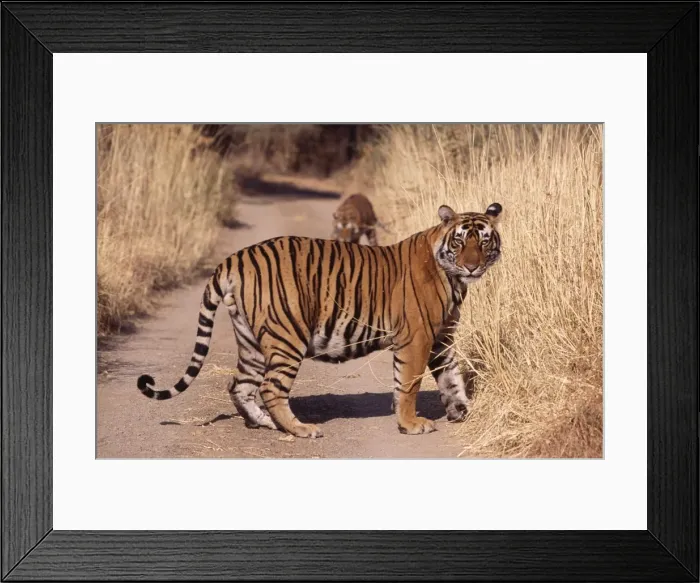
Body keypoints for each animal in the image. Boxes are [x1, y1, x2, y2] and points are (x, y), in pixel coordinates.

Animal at [137, 202, 503, 438]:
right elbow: (409, 384)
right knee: (270, 387)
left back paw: (265, 423)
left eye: (484, 240)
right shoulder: (417, 338)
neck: (454, 278)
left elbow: (452, 378)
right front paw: (411, 424)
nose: (472, 266)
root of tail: (235, 258)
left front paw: (462, 411)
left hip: (251, 340)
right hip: (287, 335)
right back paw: (299, 429)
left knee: (239, 385)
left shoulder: (442, 338)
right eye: (460, 240)